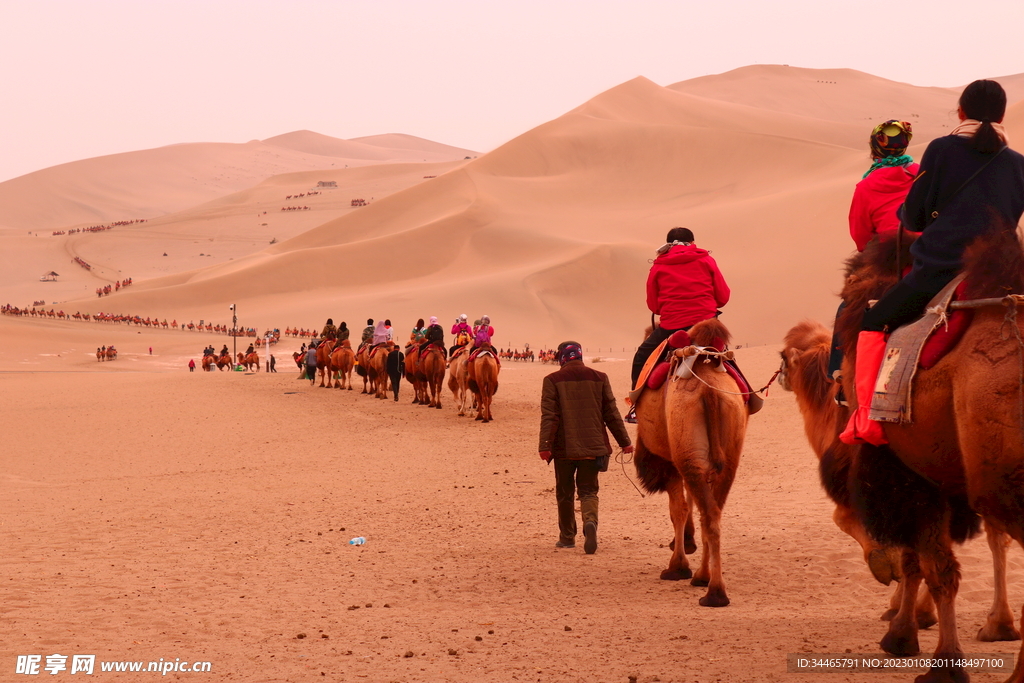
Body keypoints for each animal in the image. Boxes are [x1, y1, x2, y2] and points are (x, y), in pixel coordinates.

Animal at [630, 317, 745, 606]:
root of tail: (709, 392)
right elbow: (689, 504)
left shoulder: (668, 462)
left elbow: (678, 510)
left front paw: (678, 565)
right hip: (727, 455)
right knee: (713, 512)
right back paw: (706, 580)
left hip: (685, 450)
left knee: (704, 511)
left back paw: (713, 591)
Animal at [778, 321, 1019, 643]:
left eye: (783, 356)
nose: (780, 376)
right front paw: (917, 611)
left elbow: (845, 519)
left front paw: (887, 576)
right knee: (997, 535)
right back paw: (1000, 624)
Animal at [823, 231, 1024, 683]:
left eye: (844, 301)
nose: (837, 383)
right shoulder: (933, 472)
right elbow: (926, 562)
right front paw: (910, 634)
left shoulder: (904, 471)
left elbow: (930, 565)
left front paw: (937, 659)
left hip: (1001, 483)